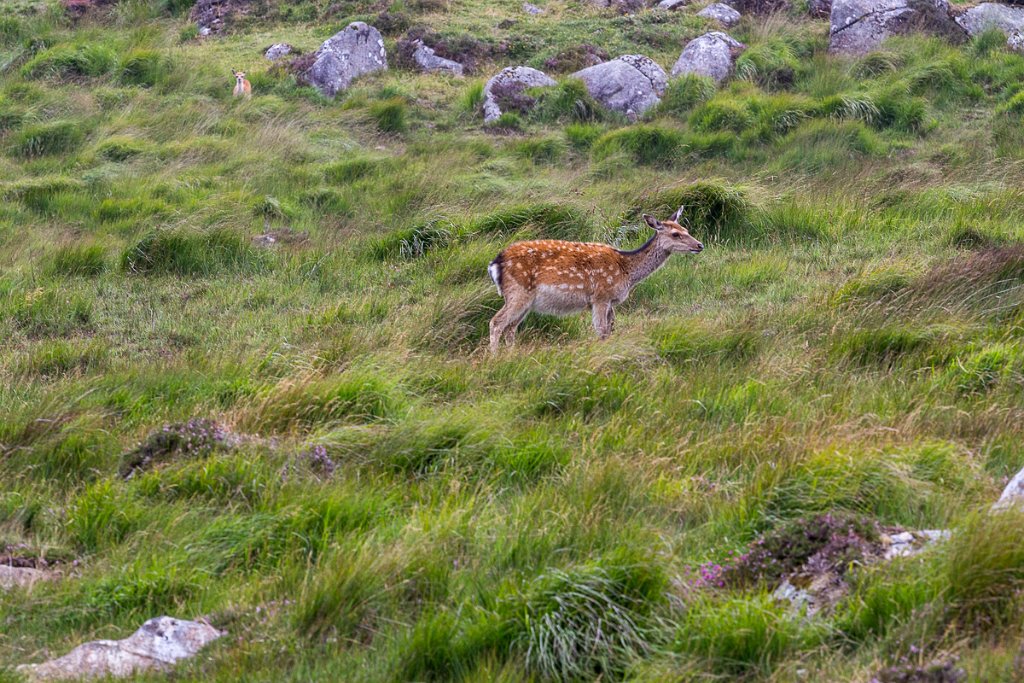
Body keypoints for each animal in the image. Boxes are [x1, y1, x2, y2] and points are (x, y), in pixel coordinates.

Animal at [489, 208, 704, 352]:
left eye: (685, 229)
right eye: (675, 234)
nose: (699, 245)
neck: (627, 271)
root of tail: (495, 263)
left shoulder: (610, 301)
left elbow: (610, 329)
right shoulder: (601, 296)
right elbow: (601, 330)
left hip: (526, 301)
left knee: (510, 328)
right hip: (518, 292)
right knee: (496, 322)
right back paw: (495, 358)